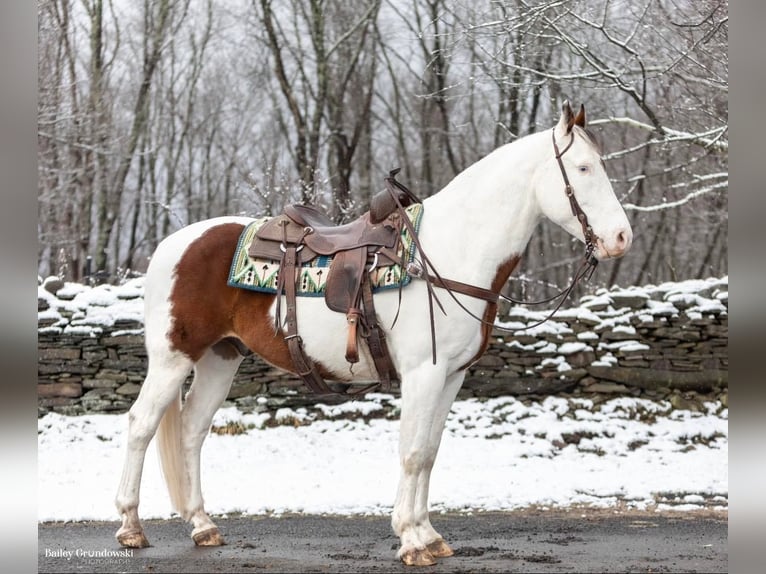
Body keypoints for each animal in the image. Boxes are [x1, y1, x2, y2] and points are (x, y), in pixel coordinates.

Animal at [112, 102, 632, 568]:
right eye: (583, 168)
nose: (621, 238)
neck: (446, 254)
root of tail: (171, 246)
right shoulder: (424, 374)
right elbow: (413, 452)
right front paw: (411, 540)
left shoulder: (451, 378)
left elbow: (429, 453)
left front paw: (428, 534)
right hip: (173, 358)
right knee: (141, 425)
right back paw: (131, 527)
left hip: (220, 357)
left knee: (192, 431)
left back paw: (203, 526)